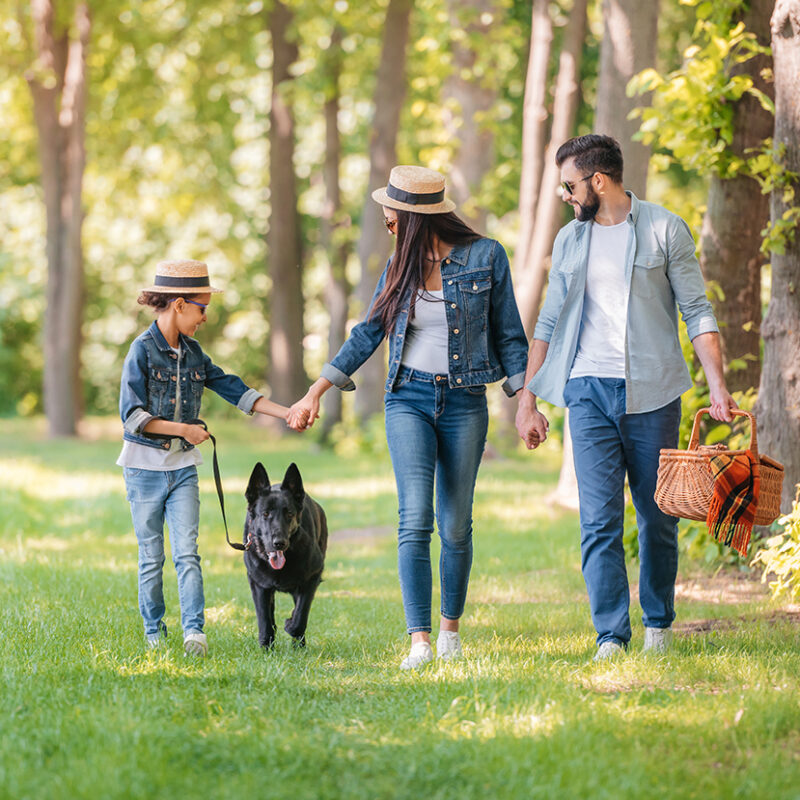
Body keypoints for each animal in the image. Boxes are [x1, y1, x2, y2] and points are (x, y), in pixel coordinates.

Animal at [245, 462, 330, 648]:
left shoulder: (311, 578)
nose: (279, 543)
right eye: (265, 514)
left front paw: (291, 626)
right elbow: (264, 620)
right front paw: (266, 647)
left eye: (289, 514)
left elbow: (300, 616)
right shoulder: (258, 585)